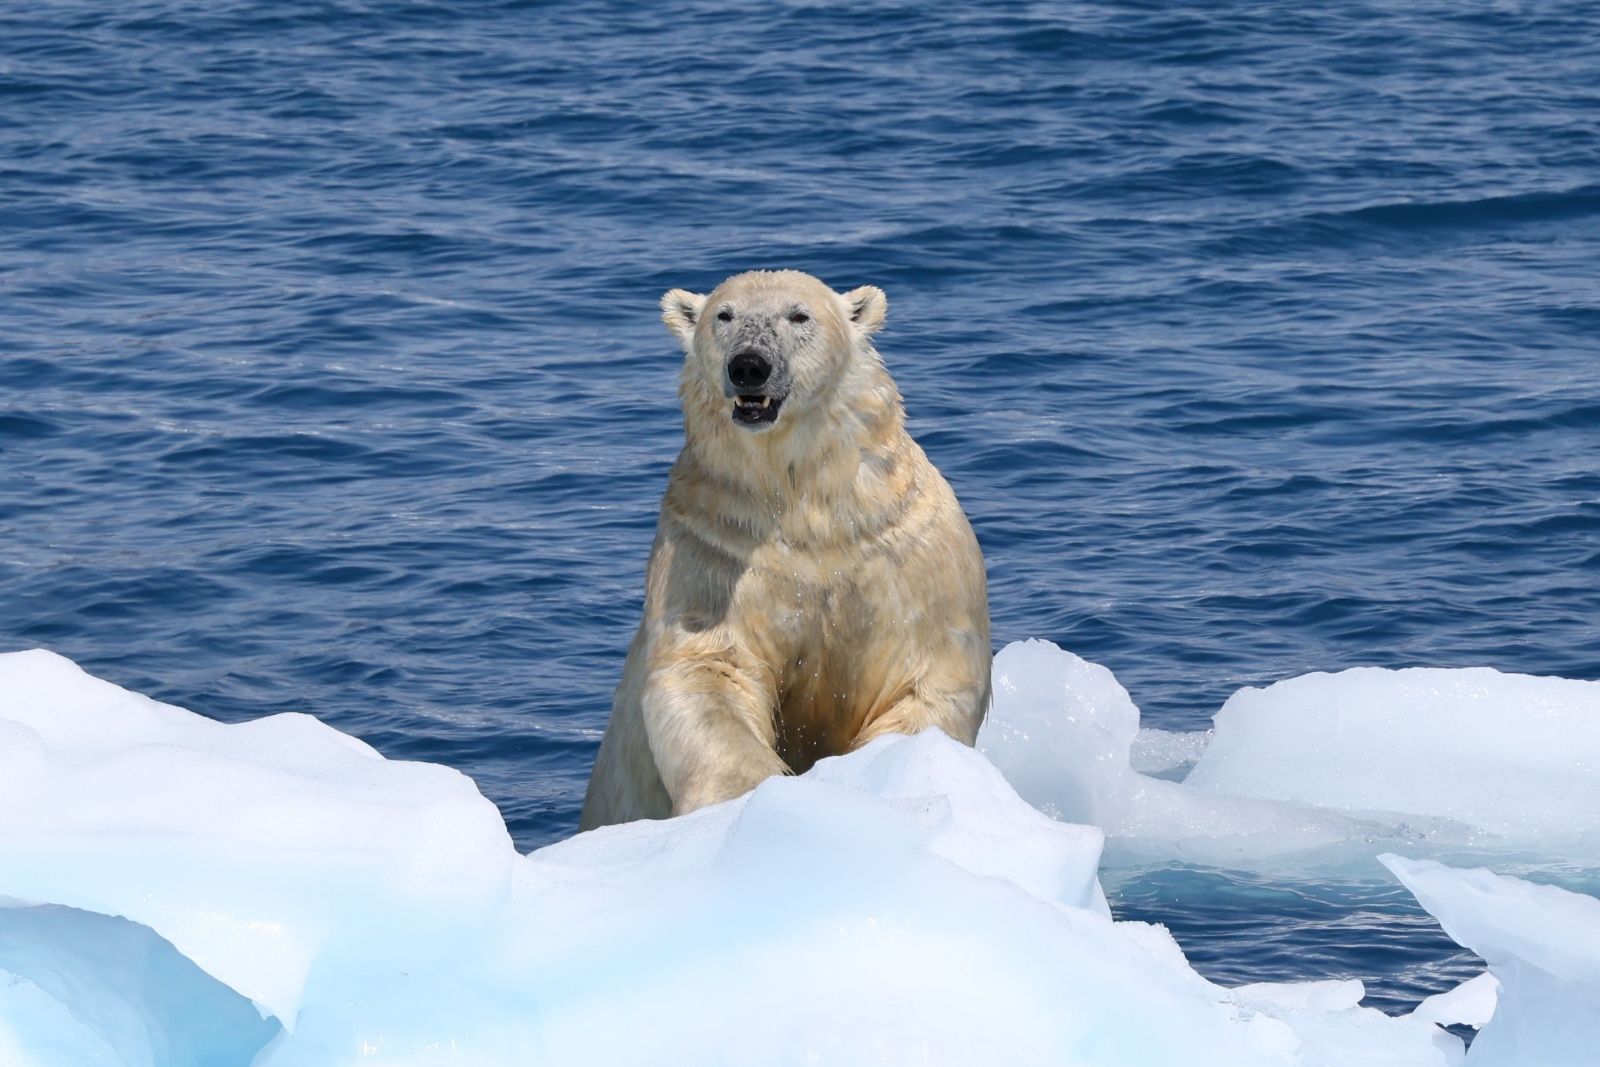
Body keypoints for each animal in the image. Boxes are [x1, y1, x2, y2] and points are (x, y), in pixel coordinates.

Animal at [579, 270, 990, 830]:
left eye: (799, 315)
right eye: (724, 315)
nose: (749, 365)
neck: (806, 511)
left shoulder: (910, 557)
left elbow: (925, 680)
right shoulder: (713, 552)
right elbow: (708, 672)